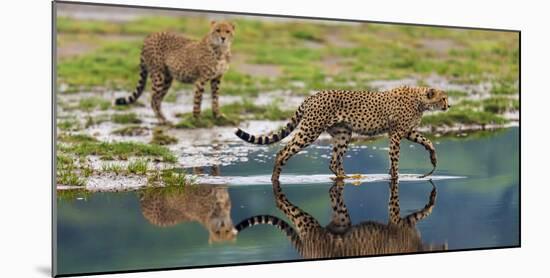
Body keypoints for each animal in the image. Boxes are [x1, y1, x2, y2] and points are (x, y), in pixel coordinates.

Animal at [235, 86, 450, 180]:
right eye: (444, 98)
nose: (449, 106)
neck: (420, 100)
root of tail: (313, 95)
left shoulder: (407, 131)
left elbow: (427, 140)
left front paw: (433, 158)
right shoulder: (396, 134)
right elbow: (395, 158)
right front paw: (394, 176)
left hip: (343, 134)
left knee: (333, 162)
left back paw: (346, 178)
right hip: (310, 130)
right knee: (283, 152)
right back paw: (274, 179)